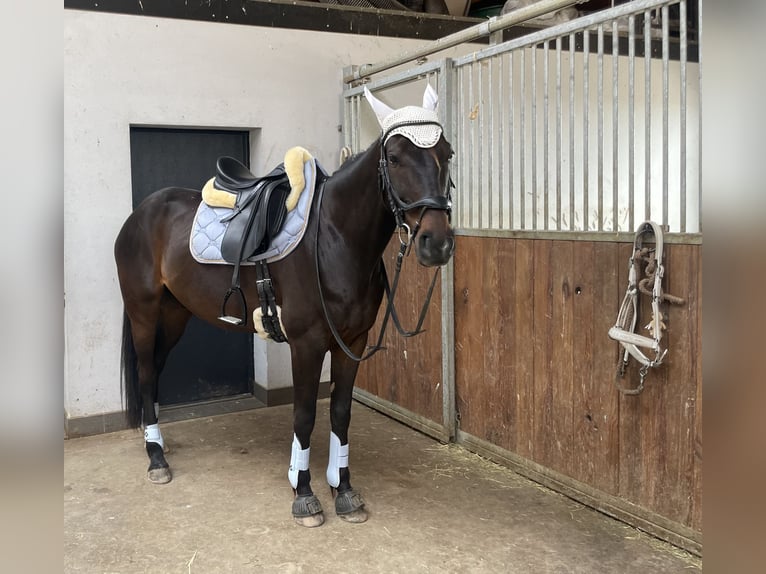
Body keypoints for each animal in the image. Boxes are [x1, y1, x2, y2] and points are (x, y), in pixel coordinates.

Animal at [114, 85, 456, 528]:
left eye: (447, 153)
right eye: (394, 157)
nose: (438, 243)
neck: (334, 238)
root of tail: (141, 212)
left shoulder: (353, 343)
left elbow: (340, 413)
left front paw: (344, 490)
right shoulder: (307, 344)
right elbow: (305, 415)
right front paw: (304, 493)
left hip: (175, 315)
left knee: (154, 370)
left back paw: (156, 441)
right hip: (143, 311)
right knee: (143, 371)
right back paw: (155, 458)